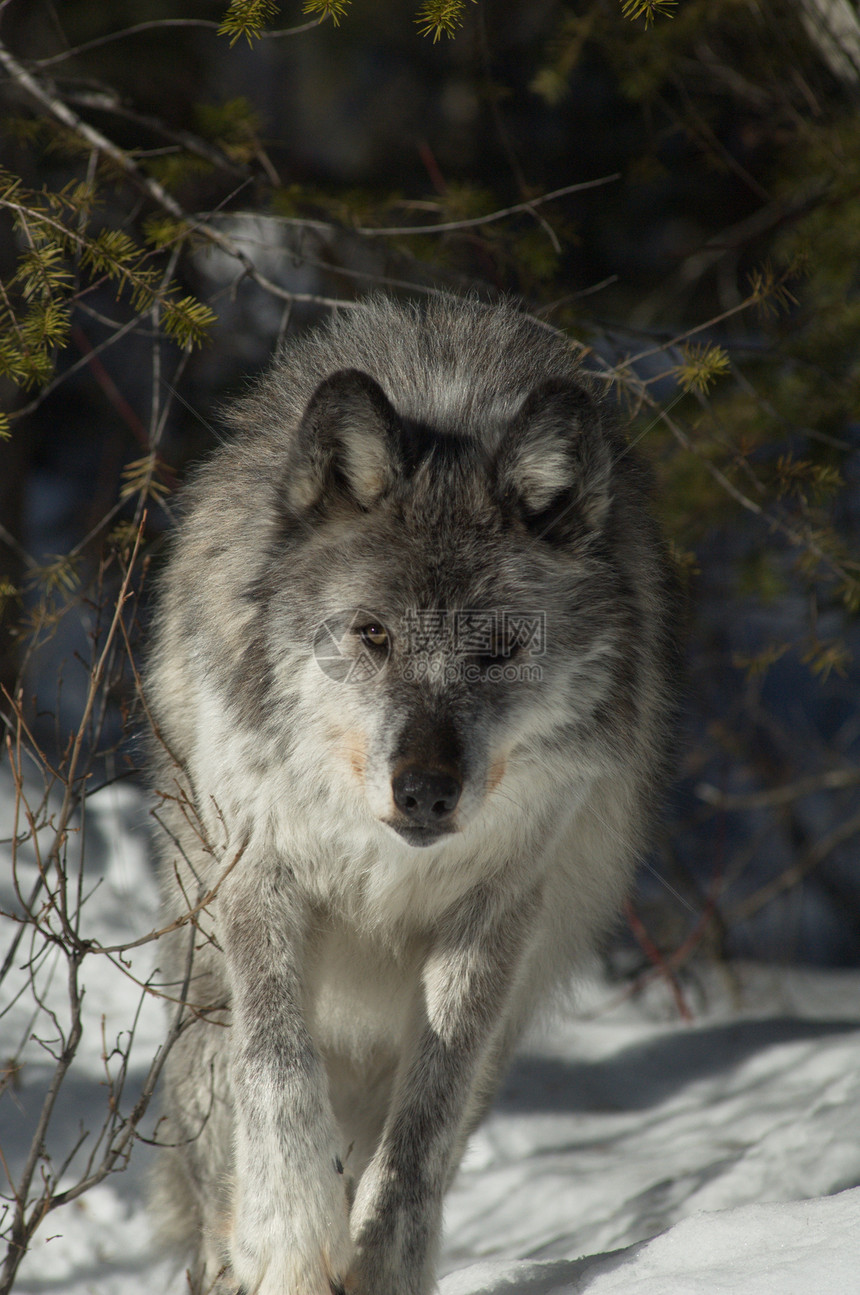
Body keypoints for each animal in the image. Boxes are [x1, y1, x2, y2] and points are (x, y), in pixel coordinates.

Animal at [146, 296, 678, 1295]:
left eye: (500, 647)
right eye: (373, 633)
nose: (427, 792)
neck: (378, 858)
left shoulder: (494, 916)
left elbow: (423, 1127)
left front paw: (381, 1262)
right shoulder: (260, 872)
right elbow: (277, 1066)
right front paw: (292, 1235)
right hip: (197, 1002)